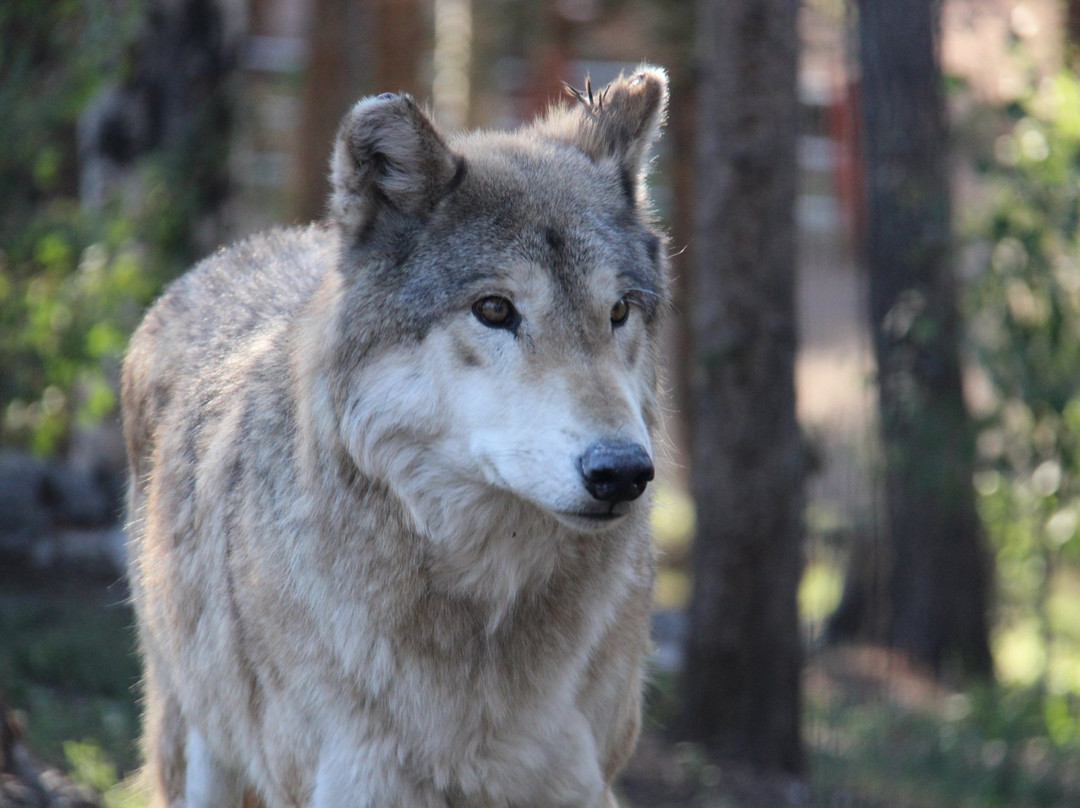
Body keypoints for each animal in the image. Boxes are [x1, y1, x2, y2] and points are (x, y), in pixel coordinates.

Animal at [122, 64, 669, 808]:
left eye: (618, 312)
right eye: (494, 309)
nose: (623, 472)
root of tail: (238, 250)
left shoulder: (581, 784)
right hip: (201, 750)